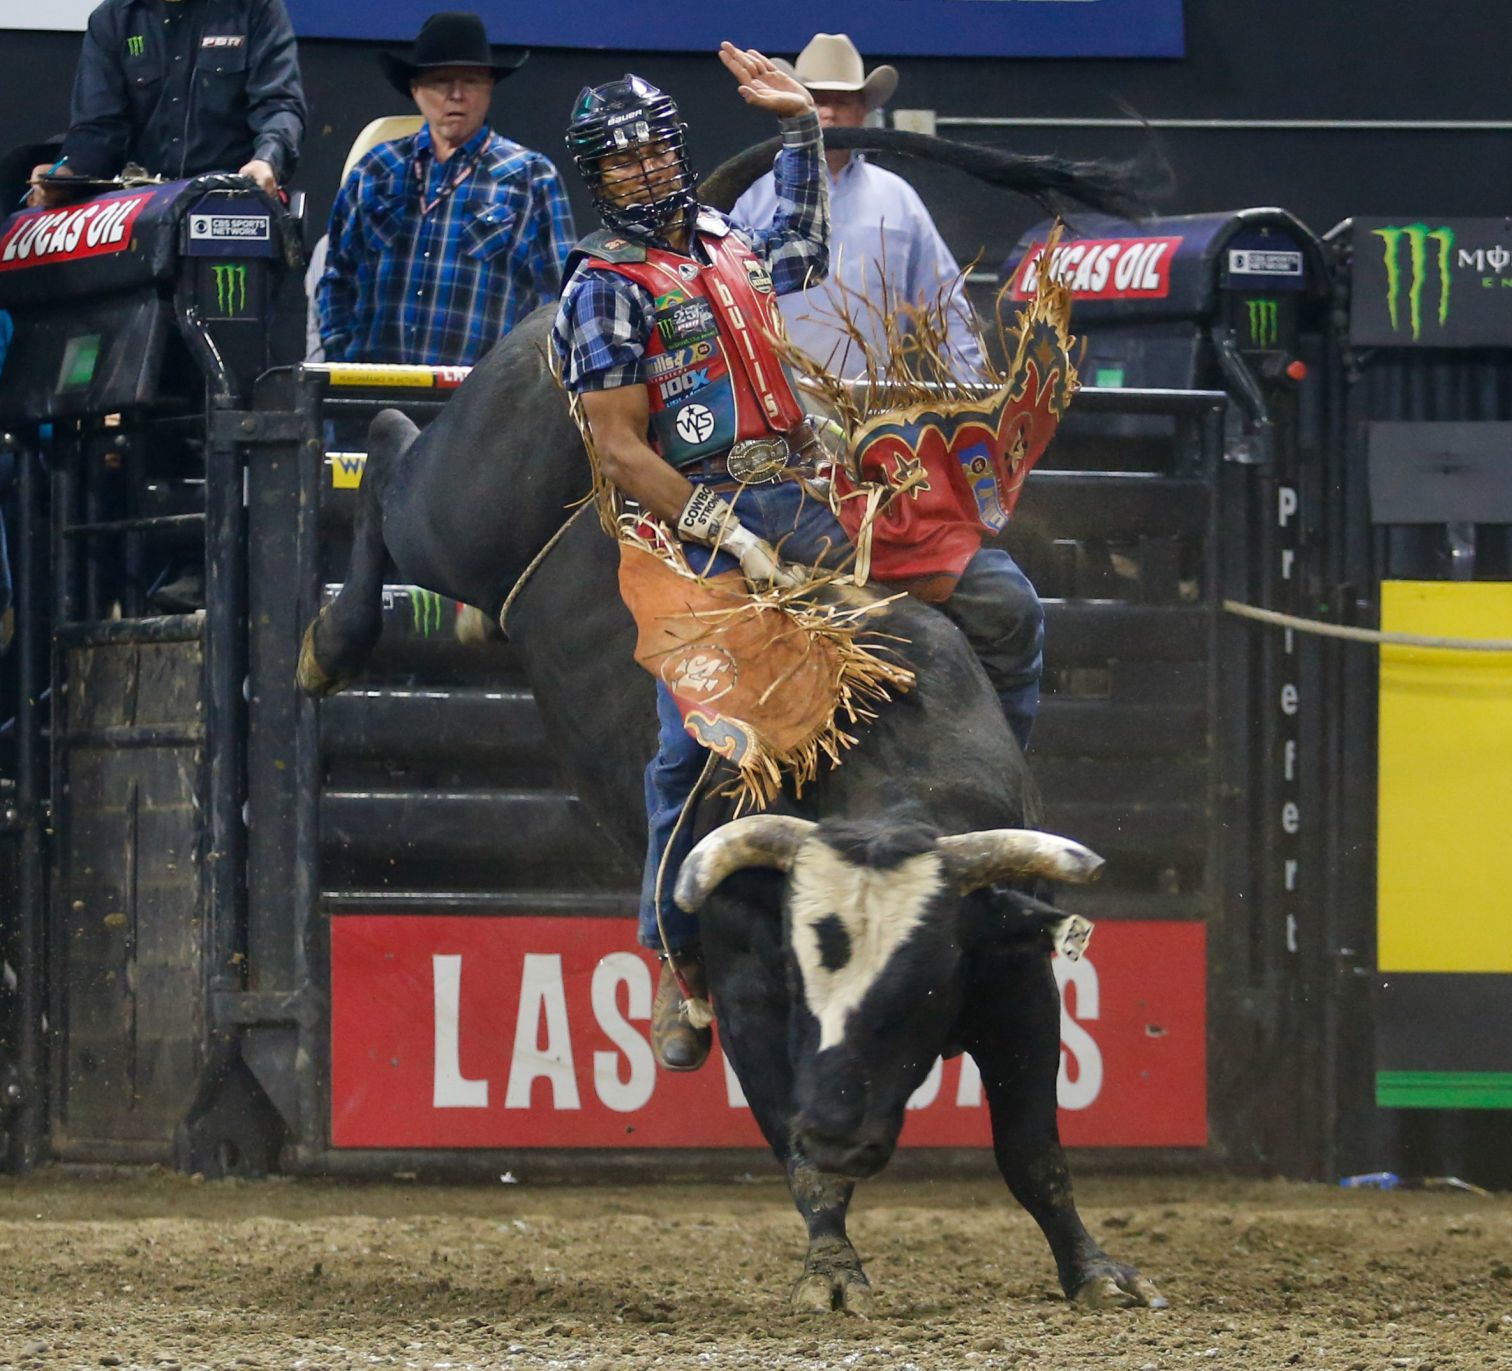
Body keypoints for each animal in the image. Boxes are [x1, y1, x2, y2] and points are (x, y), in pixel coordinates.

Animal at [294, 128, 1167, 1318]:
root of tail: (572, 291)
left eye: (917, 990)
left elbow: (1033, 1148)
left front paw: (1094, 1269)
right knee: (386, 452)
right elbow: (780, 1125)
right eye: (809, 978)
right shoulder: (750, 980)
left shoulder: (1017, 970)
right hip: (461, 500)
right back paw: (330, 643)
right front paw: (834, 1262)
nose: (842, 1128)